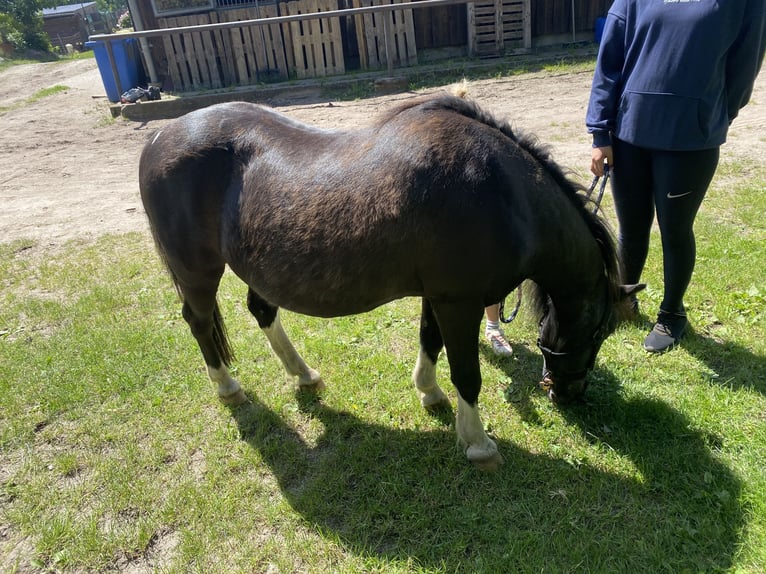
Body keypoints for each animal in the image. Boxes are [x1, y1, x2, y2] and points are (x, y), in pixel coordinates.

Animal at [140, 94, 640, 470]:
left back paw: (304, 375)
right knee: (199, 321)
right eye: (601, 330)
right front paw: (478, 444)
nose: (571, 393)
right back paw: (228, 387)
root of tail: (160, 137)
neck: (505, 194)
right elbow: (467, 374)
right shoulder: (459, 302)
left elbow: (429, 341)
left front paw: (429, 392)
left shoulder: (439, 296)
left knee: (261, 310)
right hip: (198, 270)